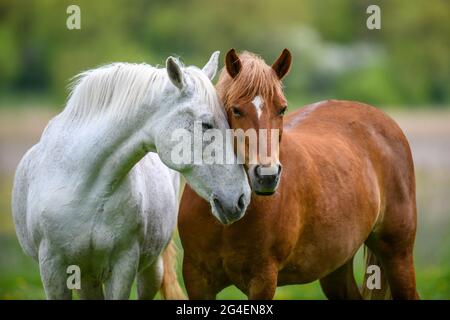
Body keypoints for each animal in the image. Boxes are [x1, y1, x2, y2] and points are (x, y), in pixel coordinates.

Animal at [10, 51, 251, 298]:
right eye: (206, 124)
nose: (241, 199)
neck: (82, 185)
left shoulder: (123, 266)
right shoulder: (53, 270)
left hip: (150, 270)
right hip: (86, 278)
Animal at [177, 48, 418, 298]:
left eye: (282, 109)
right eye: (236, 109)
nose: (267, 177)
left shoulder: (262, 279)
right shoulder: (197, 279)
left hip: (397, 254)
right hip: (336, 268)